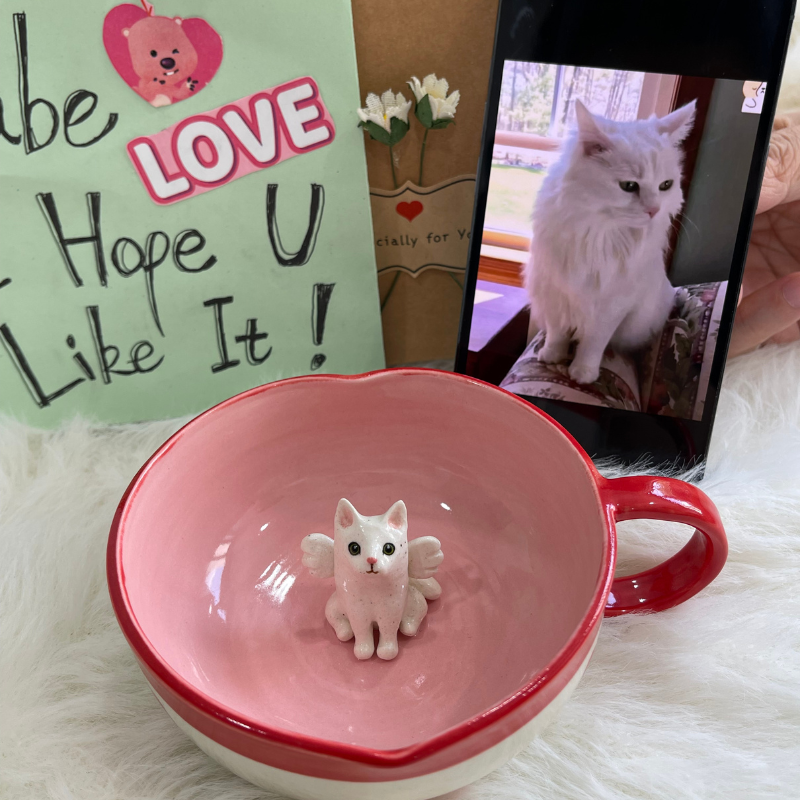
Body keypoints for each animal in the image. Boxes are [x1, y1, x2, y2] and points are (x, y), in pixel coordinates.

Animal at [524, 97, 692, 384]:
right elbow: (558, 333)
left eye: (665, 185)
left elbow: (593, 343)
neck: (599, 236)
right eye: (629, 186)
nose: (654, 210)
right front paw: (551, 356)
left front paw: (583, 374)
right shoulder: (555, 293)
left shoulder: (611, 305)